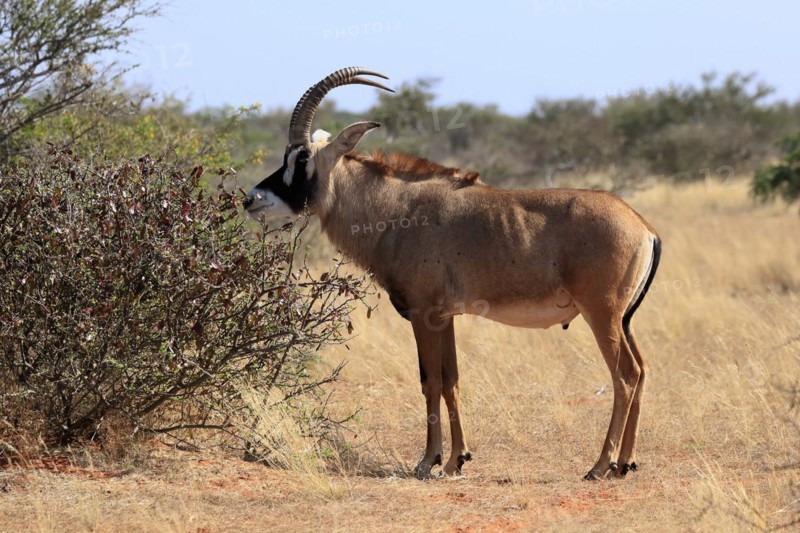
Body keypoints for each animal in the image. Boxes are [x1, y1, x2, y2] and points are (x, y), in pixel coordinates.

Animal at [244, 67, 662, 481]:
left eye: (301, 159)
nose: (251, 199)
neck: (397, 210)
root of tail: (643, 228)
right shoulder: (445, 318)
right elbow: (451, 382)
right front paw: (457, 459)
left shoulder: (424, 315)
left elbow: (430, 382)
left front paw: (428, 461)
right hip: (624, 320)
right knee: (641, 370)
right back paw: (625, 462)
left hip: (602, 315)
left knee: (625, 375)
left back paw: (600, 466)